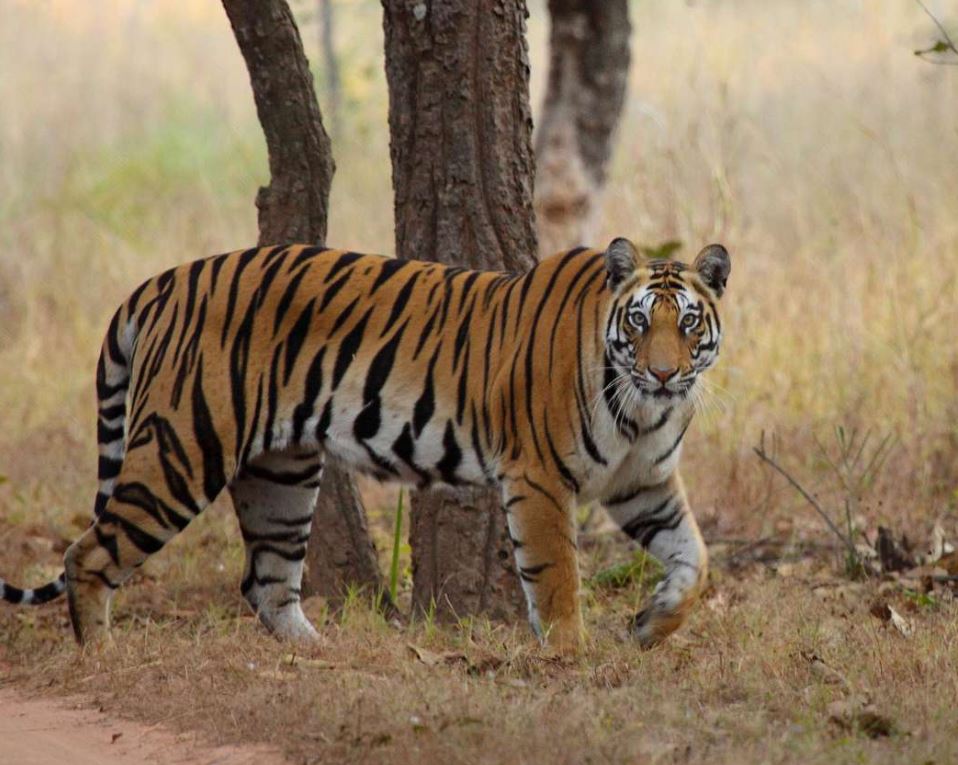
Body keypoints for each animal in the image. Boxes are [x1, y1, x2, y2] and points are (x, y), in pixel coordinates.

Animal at [0, 238, 730, 654]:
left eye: (689, 324)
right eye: (640, 323)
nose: (664, 373)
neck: (644, 412)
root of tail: (163, 281)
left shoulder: (644, 482)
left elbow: (694, 559)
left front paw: (650, 626)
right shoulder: (540, 478)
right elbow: (555, 576)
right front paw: (571, 655)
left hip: (283, 475)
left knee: (265, 581)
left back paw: (319, 653)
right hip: (182, 450)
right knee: (88, 551)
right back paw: (101, 655)